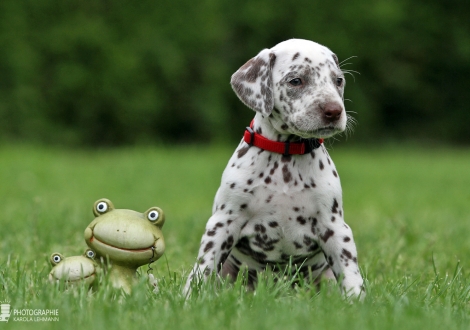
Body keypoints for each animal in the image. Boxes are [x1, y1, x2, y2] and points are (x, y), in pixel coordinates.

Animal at [185, 38, 366, 300]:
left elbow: (350, 272)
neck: (286, 154)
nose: (334, 111)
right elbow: (203, 268)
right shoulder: (222, 223)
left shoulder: (334, 228)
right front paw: (189, 298)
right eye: (296, 81)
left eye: (338, 80)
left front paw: (357, 301)